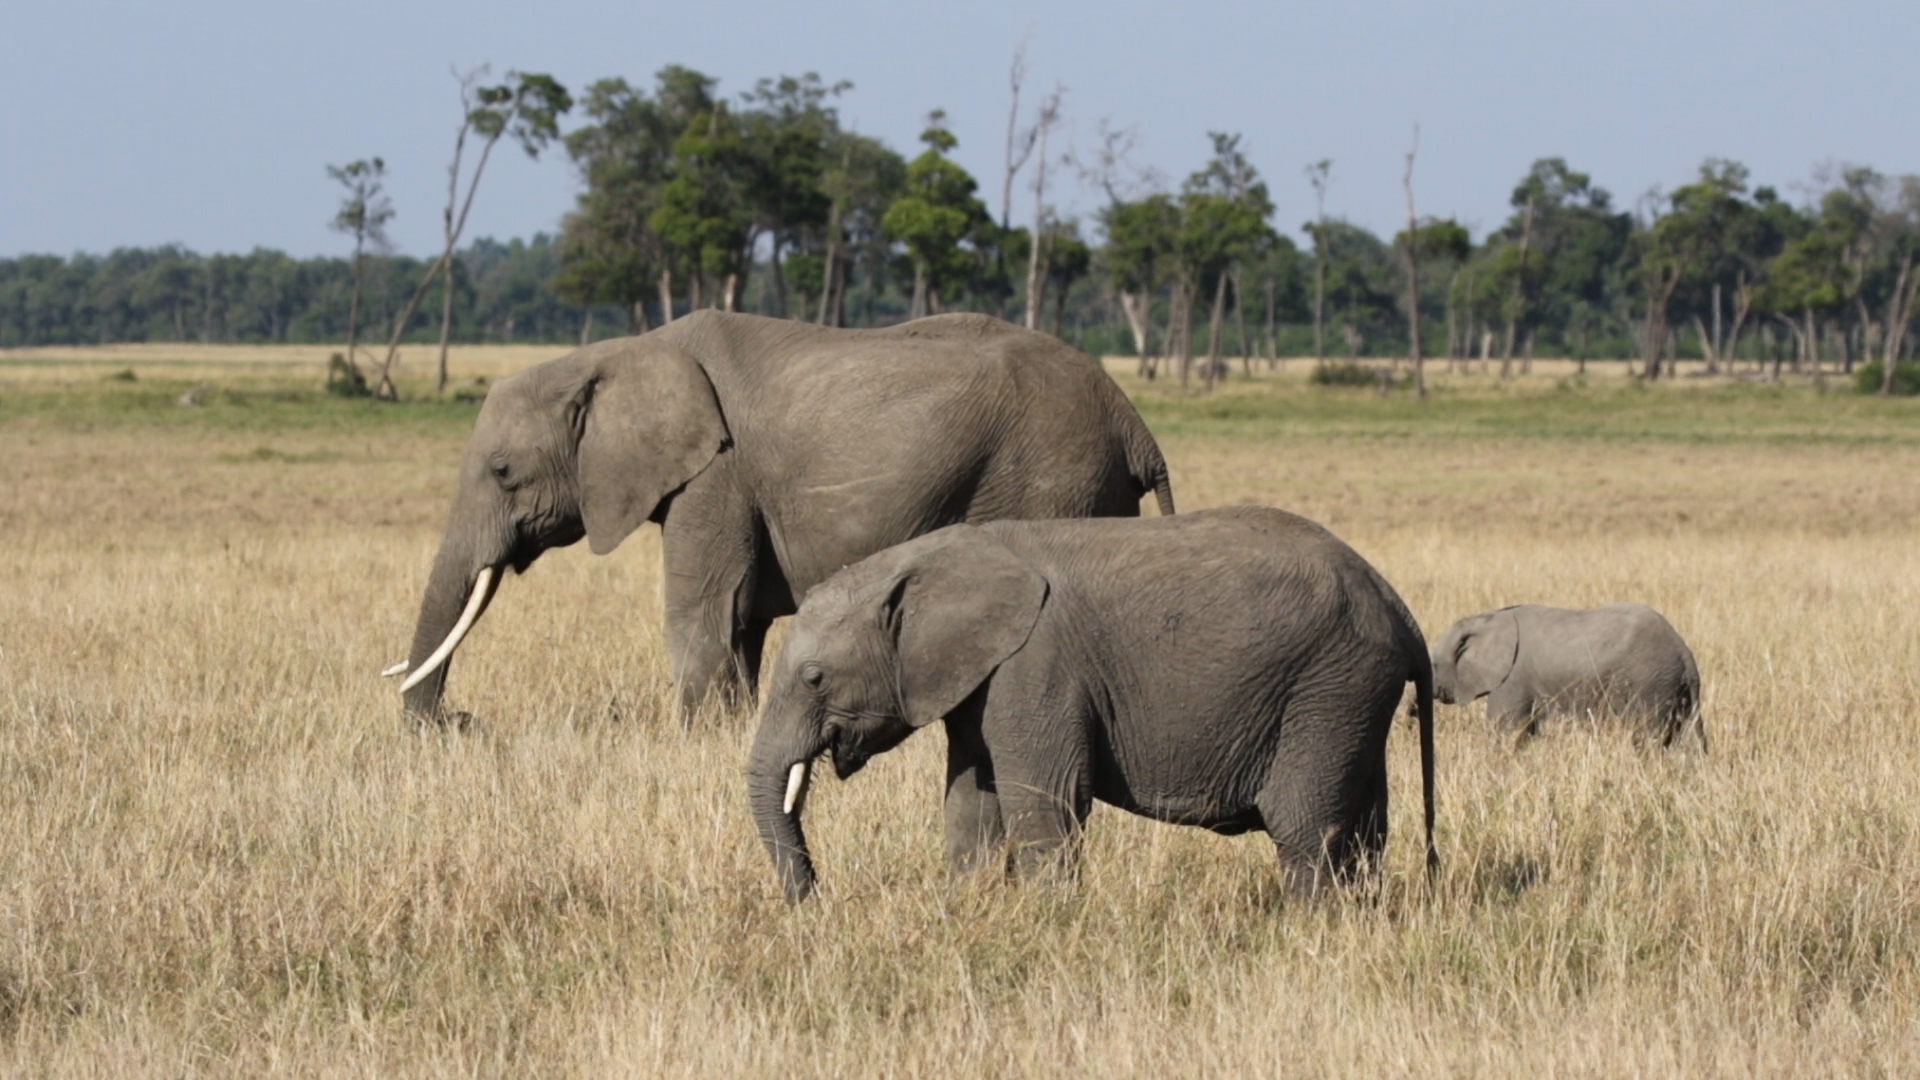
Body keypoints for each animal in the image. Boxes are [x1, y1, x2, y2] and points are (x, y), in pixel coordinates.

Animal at [387, 307, 1167, 722]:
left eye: (502, 471)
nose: (457, 722)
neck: (620, 352)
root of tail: (1134, 424)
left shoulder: (717, 474)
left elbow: (702, 612)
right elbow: (740, 622)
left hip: (1053, 479)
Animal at [741, 503, 1436, 899]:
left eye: (814, 678)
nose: (817, 902)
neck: (927, 557)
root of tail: (1397, 606)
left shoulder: (1037, 666)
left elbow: (1045, 800)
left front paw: (1047, 923)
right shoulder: (981, 680)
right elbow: (971, 804)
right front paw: (971, 911)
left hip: (1329, 686)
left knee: (1304, 828)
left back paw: (1307, 931)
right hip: (1352, 697)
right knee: (1365, 829)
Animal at [1428, 607, 1712, 749]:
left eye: (1433, 665)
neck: (1483, 619)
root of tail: (1685, 655)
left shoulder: (1512, 679)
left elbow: (1505, 730)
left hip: (1649, 683)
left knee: (1646, 737)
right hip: (1675, 688)